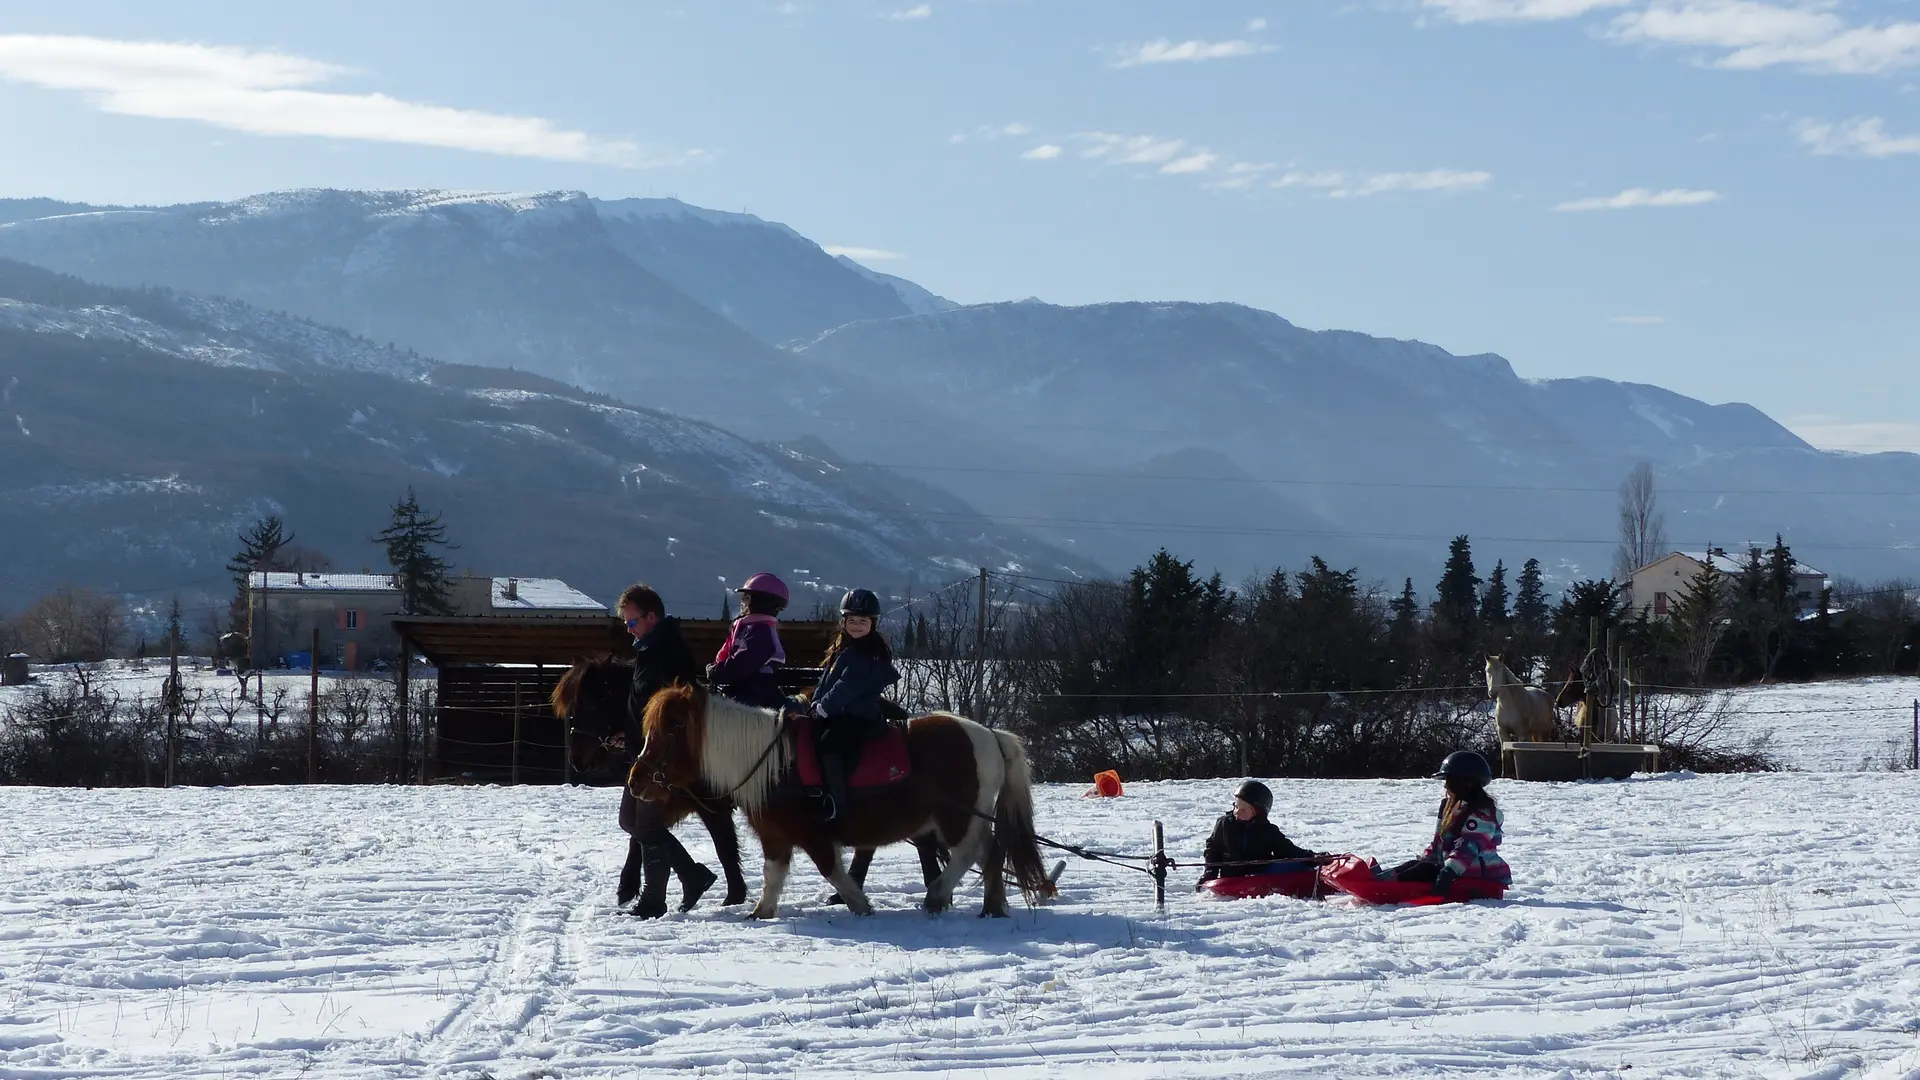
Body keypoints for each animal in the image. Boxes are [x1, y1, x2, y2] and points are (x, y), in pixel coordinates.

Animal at [633, 680, 1052, 914]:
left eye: (671, 728)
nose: (636, 780)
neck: (771, 763)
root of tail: (990, 735)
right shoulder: (775, 837)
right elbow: (772, 875)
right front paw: (761, 911)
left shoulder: (814, 835)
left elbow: (830, 869)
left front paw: (859, 904)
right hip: (964, 819)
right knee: (990, 851)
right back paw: (991, 905)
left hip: (957, 819)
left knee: (970, 853)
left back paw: (938, 896)